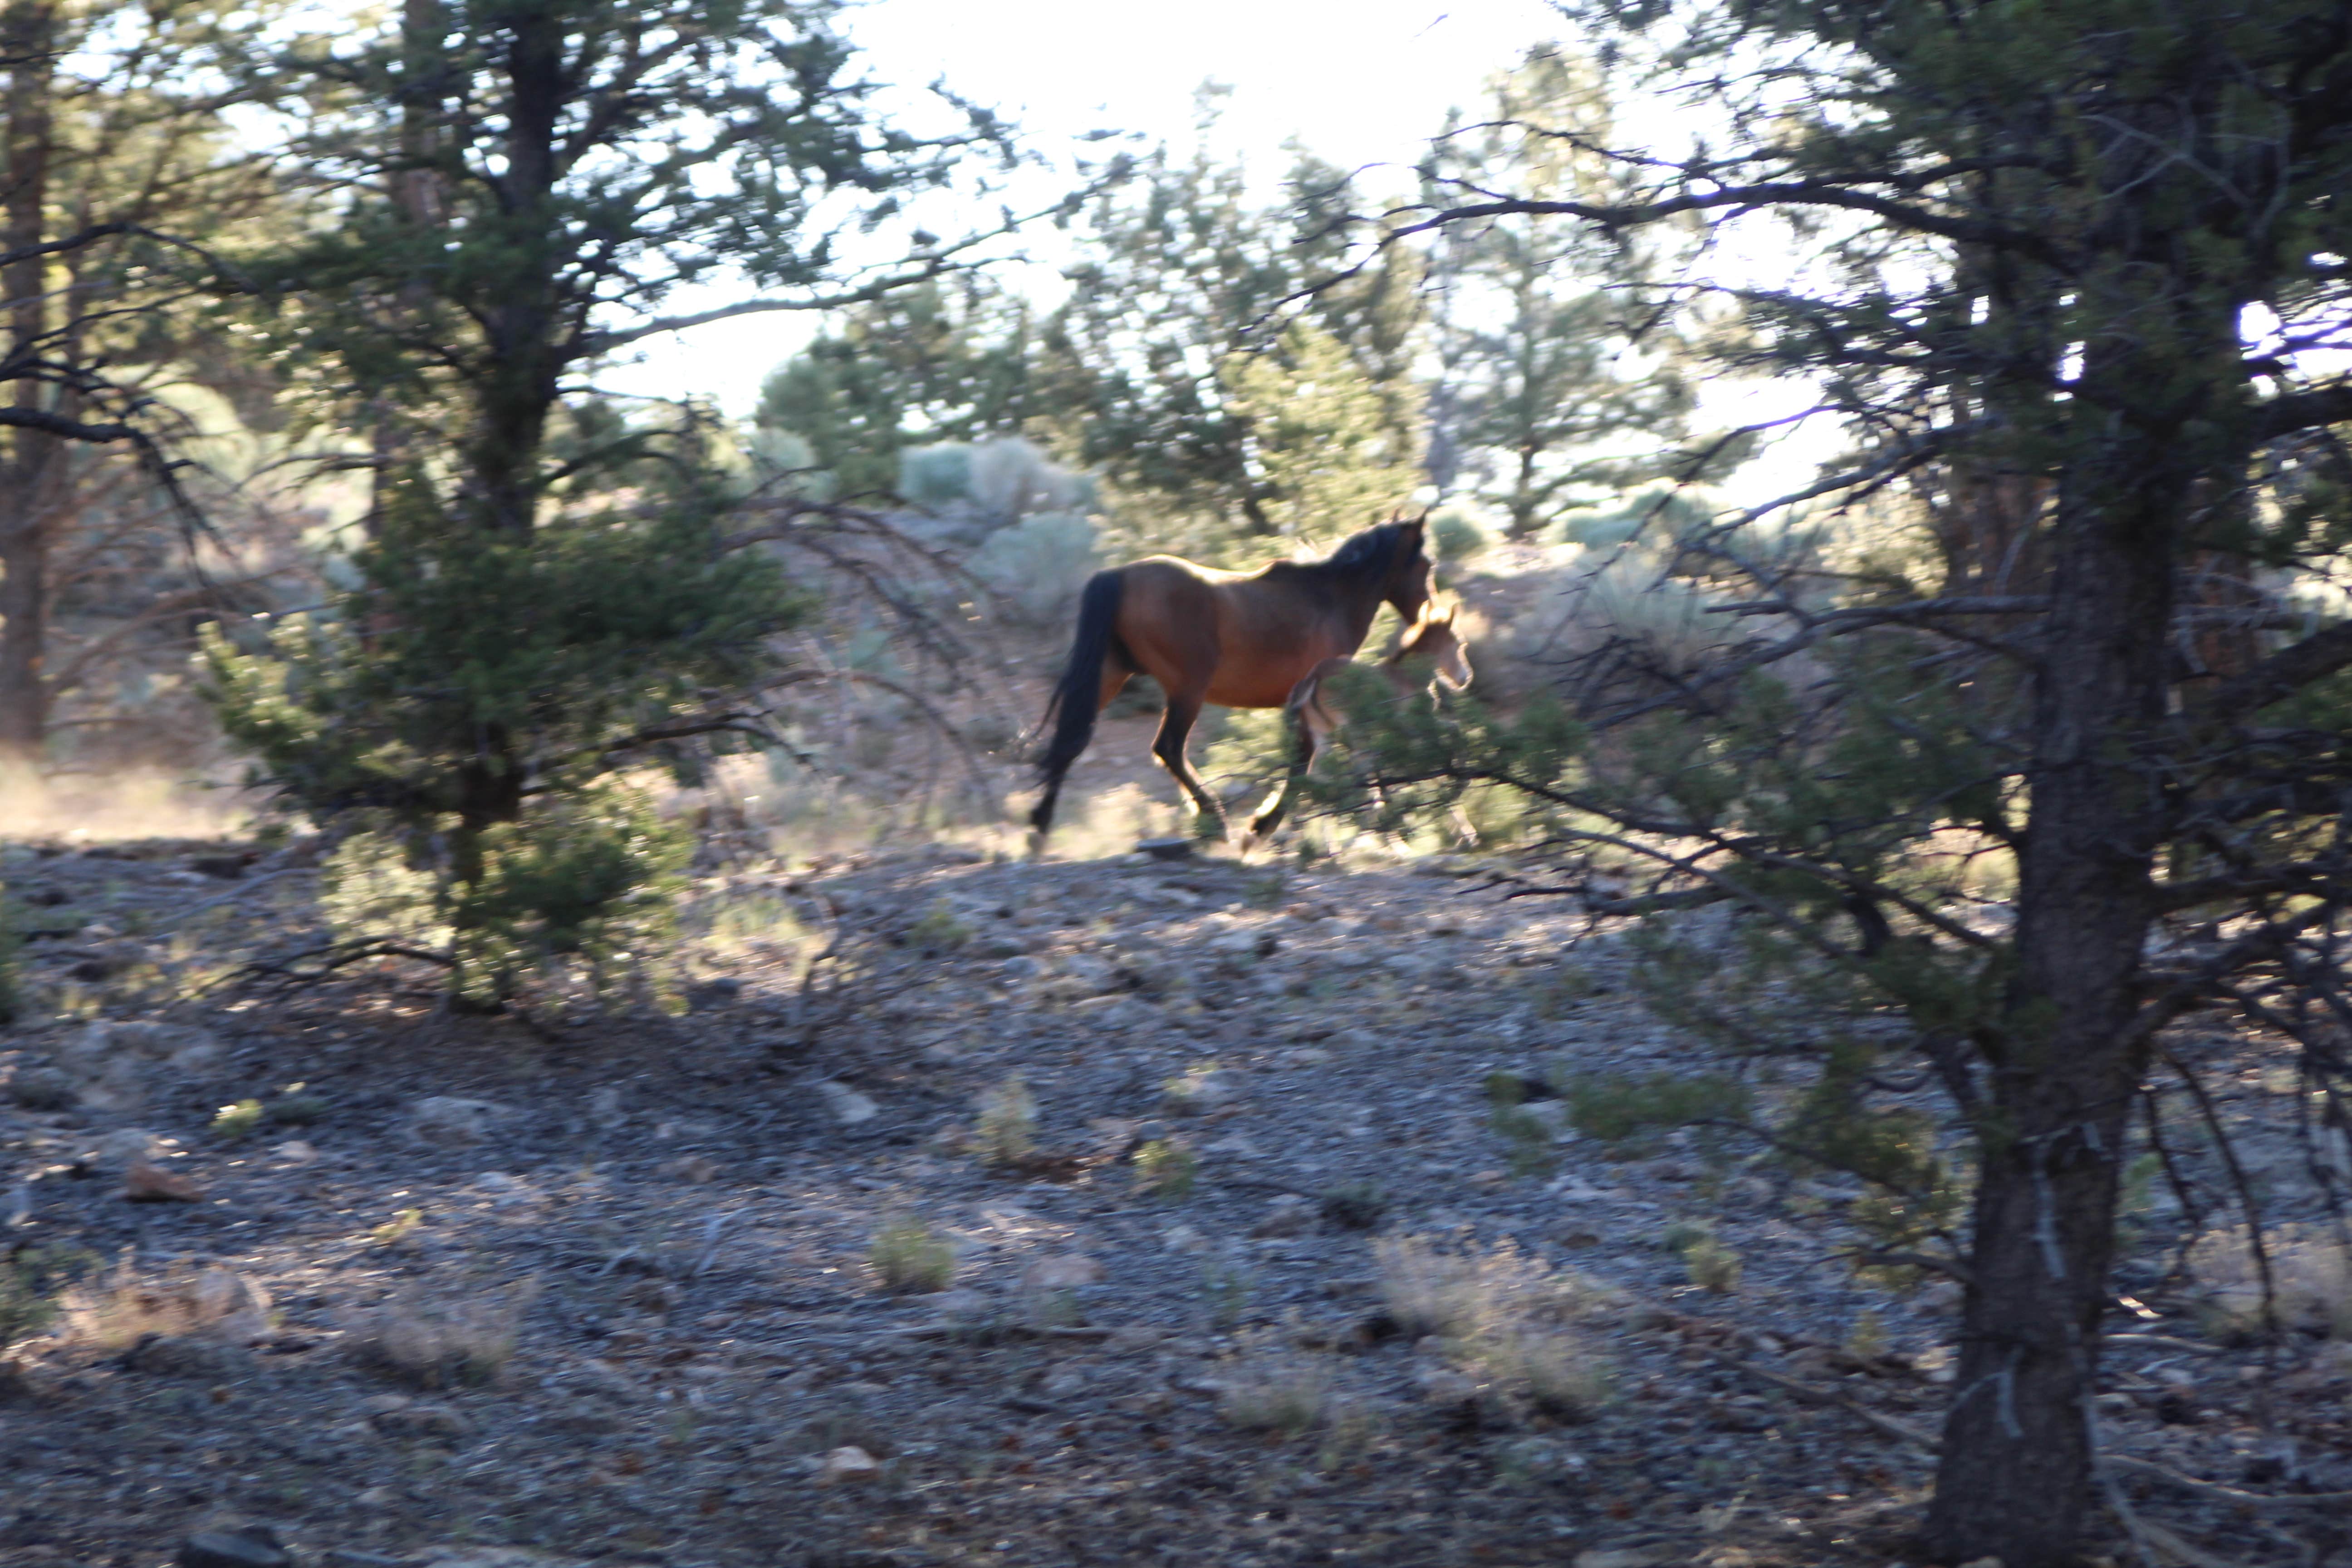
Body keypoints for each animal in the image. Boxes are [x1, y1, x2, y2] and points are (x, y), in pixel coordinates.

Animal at [1029, 515, 1434, 839]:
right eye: (1426, 564)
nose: (1424, 614)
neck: (1329, 599)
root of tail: (1120, 575)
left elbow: (1303, 760)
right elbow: (1303, 760)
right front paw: (1266, 823)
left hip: (1111, 676)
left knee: (1070, 740)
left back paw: (1040, 823)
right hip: (1187, 690)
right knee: (1169, 749)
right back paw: (1214, 818)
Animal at [1243, 599, 1473, 843]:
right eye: (1460, 644)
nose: (1465, 679)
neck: (1407, 677)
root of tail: (1313, 677)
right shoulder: (1413, 728)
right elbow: (1454, 733)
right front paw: (1459, 789)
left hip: (1324, 737)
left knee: (1320, 780)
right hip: (1354, 734)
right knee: (1355, 777)